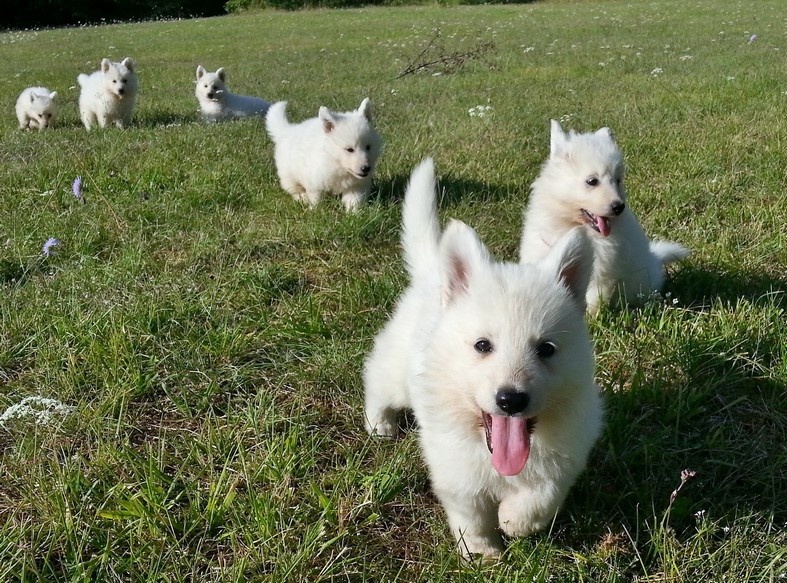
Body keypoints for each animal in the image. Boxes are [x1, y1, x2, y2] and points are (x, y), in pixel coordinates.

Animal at [364, 157, 604, 560]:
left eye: (547, 349)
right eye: (482, 345)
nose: (511, 400)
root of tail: (434, 272)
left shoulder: (566, 451)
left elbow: (542, 494)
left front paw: (515, 520)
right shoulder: (456, 468)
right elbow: (471, 515)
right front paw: (482, 553)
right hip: (397, 373)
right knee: (376, 378)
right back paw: (379, 423)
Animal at [524, 119, 688, 318]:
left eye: (617, 180)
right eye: (592, 181)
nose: (619, 207)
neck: (572, 224)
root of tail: (656, 258)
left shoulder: (603, 272)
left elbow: (595, 298)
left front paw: (592, 318)